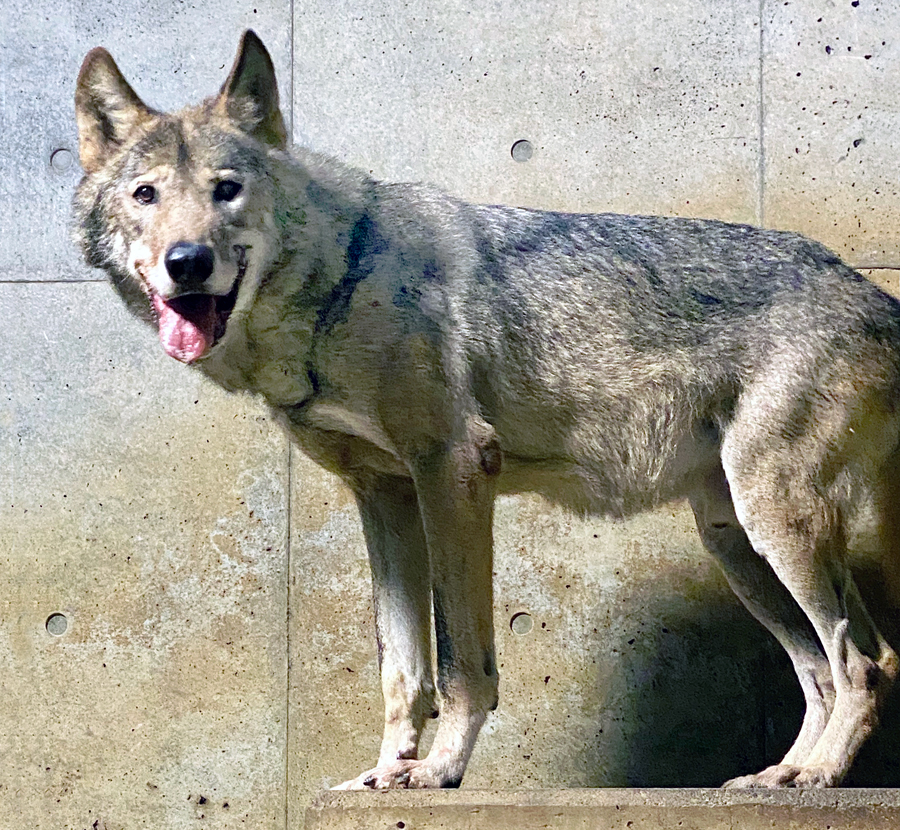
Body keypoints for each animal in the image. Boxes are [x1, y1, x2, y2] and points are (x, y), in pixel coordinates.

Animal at [75, 29, 900, 788]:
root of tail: (873, 292)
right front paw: (384, 774)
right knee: (821, 669)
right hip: (736, 544)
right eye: (146, 195)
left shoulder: (455, 473)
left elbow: (460, 662)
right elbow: (401, 669)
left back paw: (821, 776)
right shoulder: (384, 499)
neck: (340, 279)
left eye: (227, 189)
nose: (188, 263)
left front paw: (440, 771)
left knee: (866, 660)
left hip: (776, 526)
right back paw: (781, 776)